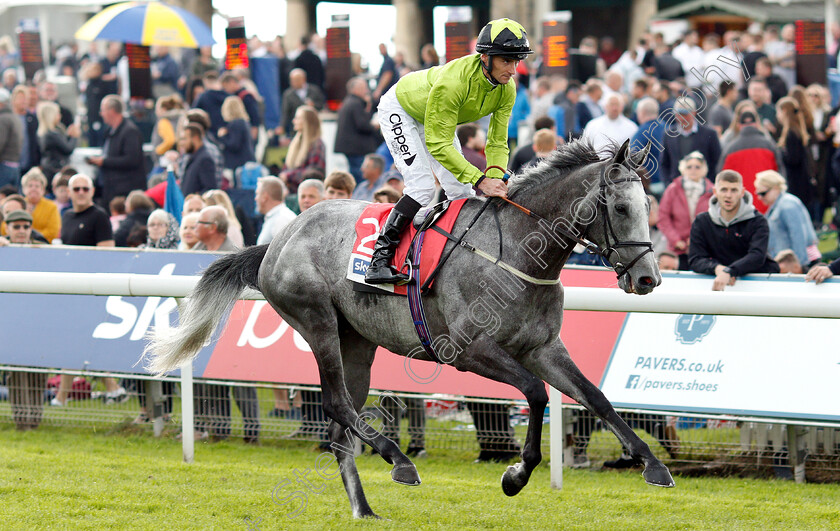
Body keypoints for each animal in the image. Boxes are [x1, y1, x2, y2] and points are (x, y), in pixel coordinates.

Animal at [148, 138, 676, 520]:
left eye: (649, 207)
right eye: (622, 208)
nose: (648, 279)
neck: (519, 252)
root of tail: (277, 239)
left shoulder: (543, 347)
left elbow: (595, 396)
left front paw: (652, 464)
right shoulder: (468, 348)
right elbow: (536, 394)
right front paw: (516, 474)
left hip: (357, 342)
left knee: (340, 427)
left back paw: (364, 508)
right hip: (317, 322)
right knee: (337, 404)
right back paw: (399, 461)